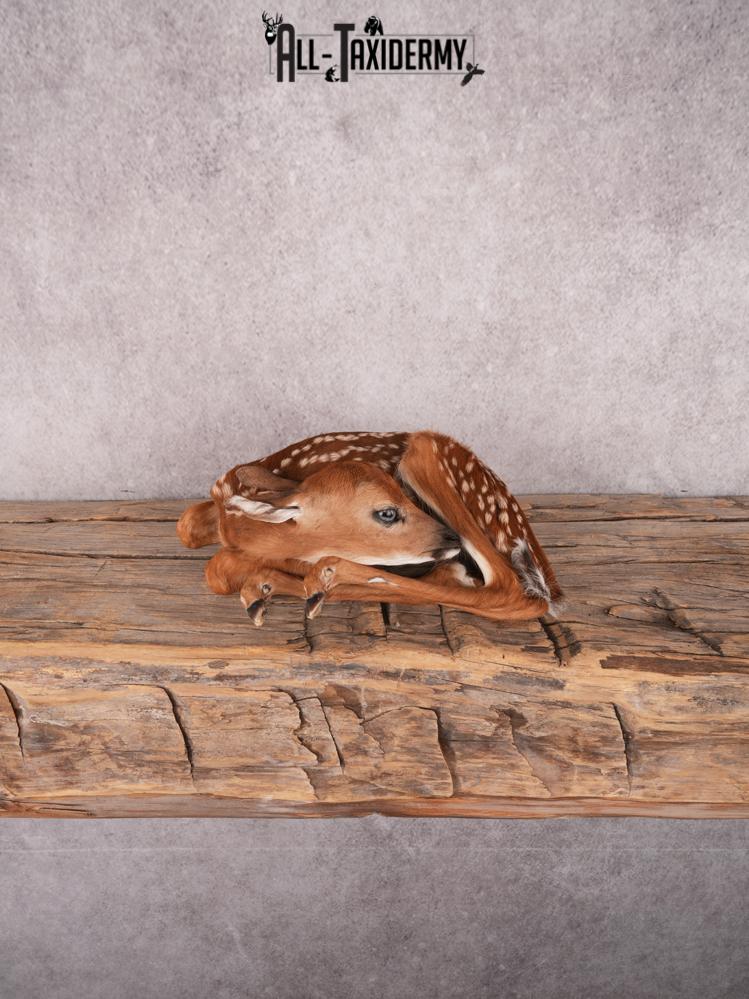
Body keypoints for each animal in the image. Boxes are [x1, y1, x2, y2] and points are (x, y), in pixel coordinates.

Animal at [177, 431, 563, 628]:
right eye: (387, 513)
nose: (450, 537)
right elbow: (187, 528)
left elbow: (219, 567)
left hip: (424, 450)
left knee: (512, 591)